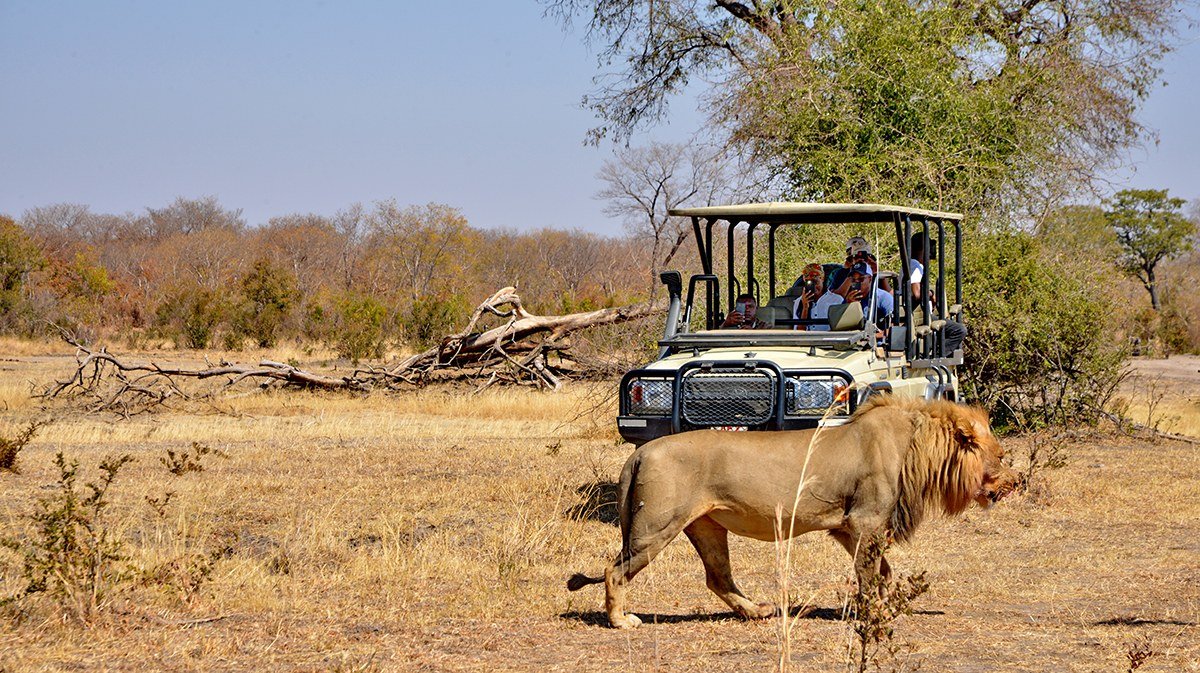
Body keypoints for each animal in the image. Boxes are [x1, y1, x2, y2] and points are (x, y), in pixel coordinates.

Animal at [568, 396, 1018, 628]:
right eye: (1000, 455)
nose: (1017, 482)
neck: (917, 446)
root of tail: (640, 452)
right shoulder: (866, 521)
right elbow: (872, 575)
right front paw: (874, 613)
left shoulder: (849, 528)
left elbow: (883, 572)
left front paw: (885, 605)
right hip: (656, 527)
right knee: (614, 570)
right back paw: (620, 620)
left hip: (705, 526)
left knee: (718, 577)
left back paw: (759, 611)